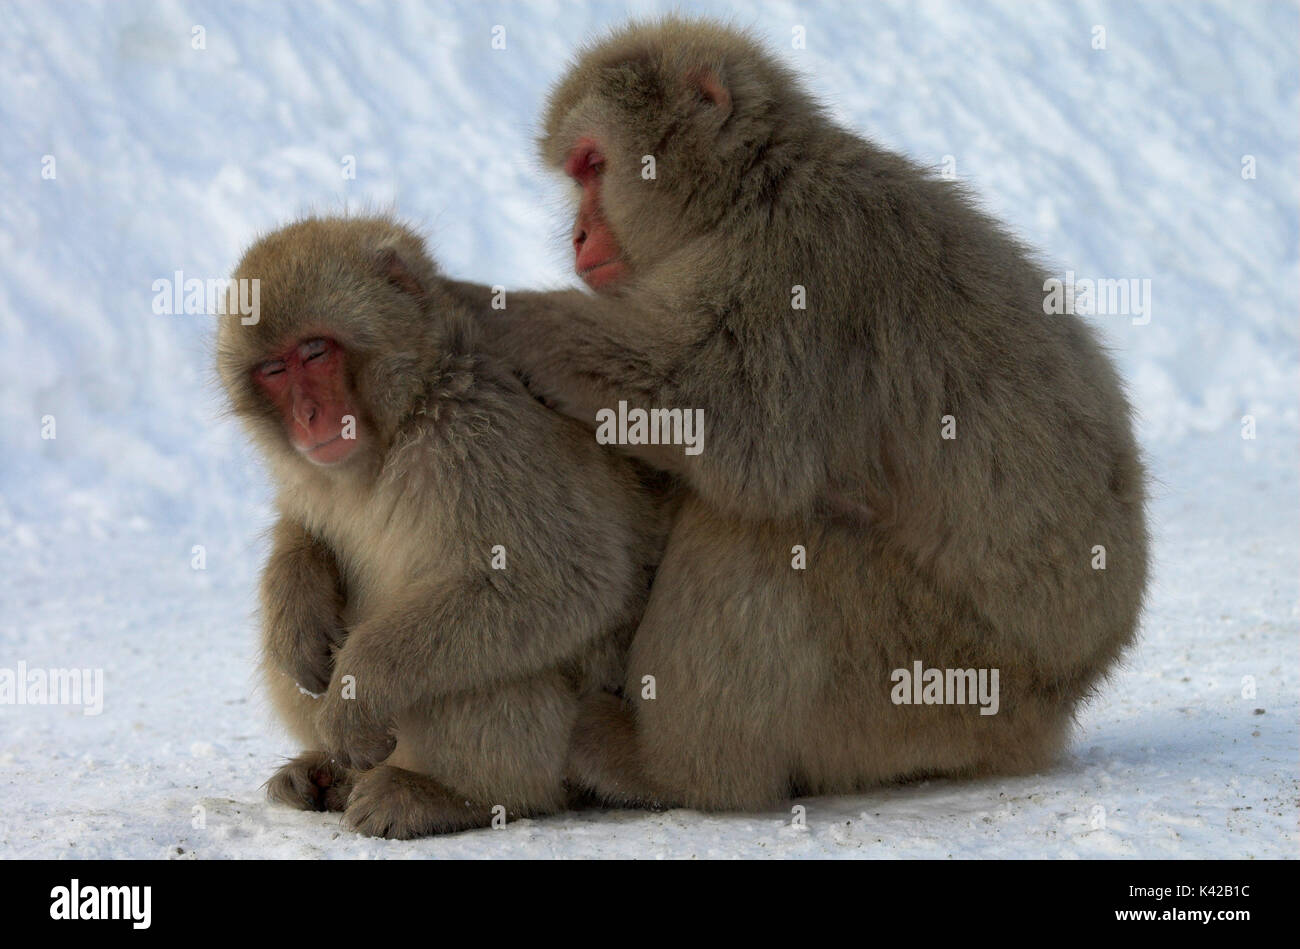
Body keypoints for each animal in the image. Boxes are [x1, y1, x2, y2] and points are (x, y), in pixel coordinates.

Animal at [215, 214, 666, 837]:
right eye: (275, 370)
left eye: (315, 351)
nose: (307, 417)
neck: (404, 419)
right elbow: (306, 527)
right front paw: (295, 606)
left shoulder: (481, 433)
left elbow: (557, 583)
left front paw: (358, 689)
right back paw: (327, 773)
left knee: (489, 662)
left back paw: (455, 796)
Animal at [441, 16, 1150, 811]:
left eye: (594, 165)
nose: (578, 236)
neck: (748, 194)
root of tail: (1066, 693)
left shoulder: (795, 264)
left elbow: (723, 417)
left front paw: (480, 307)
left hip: (939, 677)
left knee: (770, 539)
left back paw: (669, 768)